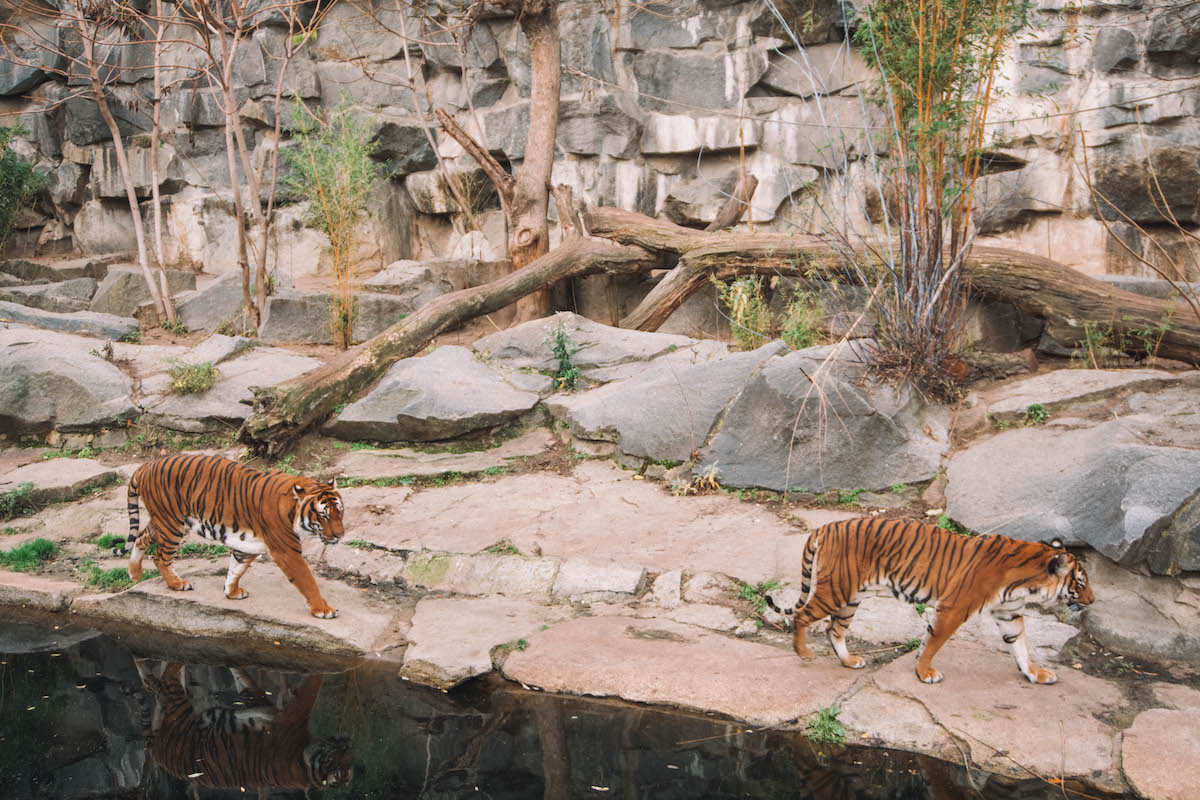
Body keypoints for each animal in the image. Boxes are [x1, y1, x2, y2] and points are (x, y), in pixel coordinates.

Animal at [123, 455, 345, 618]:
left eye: (340, 513)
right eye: (324, 516)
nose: (340, 535)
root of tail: (145, 465)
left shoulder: (246, 545)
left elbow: (236, 569)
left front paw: (231, 592)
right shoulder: (287, 551)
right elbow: (308, 580)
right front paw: (323, 610)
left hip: (166, 521)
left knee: (140, 537)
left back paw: (134, 574)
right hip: (171, 524)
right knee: (160, 557)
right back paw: (177, 584)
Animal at [768, 522, 1099, 686]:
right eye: (1081, 583)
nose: (1093, 600)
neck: (1026, 584)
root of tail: (823, 527)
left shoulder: (1010, 614)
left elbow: (1020, 646)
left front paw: (1035, 674)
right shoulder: (955, 607)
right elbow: (935, 641)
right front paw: (925, 673)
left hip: (851, 596)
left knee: (834, 630)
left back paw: (849, 661)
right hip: (836, 589)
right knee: (801, 614)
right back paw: (803, 653)